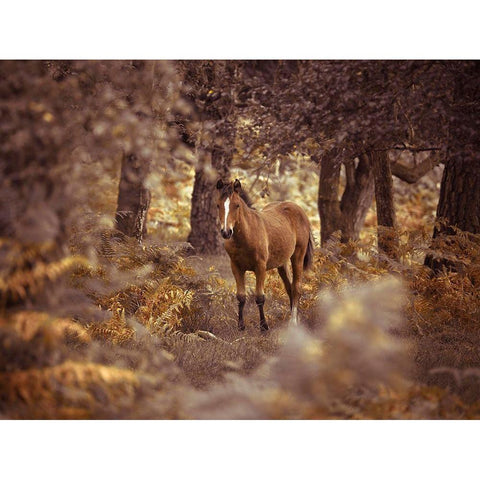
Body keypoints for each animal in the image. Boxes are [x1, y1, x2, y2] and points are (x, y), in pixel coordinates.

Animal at [216, 178, 314, 332]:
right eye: (218, 205)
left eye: (237, 205)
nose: (226, 232)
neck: (247, 235)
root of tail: (299, 210)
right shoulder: (236, 267)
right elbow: (241, 297)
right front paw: (241, 326)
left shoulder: (260, 267)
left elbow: (260, 297)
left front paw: (264, 326)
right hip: (282, 263)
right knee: (289, 288)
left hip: (297, 256)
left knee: (296, 288)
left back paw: (293, 322)